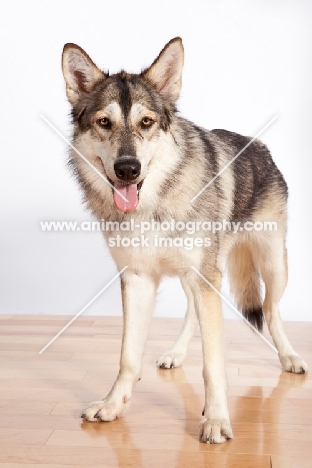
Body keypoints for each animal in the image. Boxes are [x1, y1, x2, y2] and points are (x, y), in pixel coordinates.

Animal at [61, 36, 308, 442]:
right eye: (104, 123)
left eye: (146, 122)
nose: (127, 169)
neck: (153, 206)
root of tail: (259, 146)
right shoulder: (137, 279)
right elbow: (128, 358)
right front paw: (113, 406)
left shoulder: (208, 280)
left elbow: (213, 363)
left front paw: (217, 420)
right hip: (199, 277)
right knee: (193, 313)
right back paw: (175, 354)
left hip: (271, 267)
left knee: (271, 311)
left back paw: (289, 357)